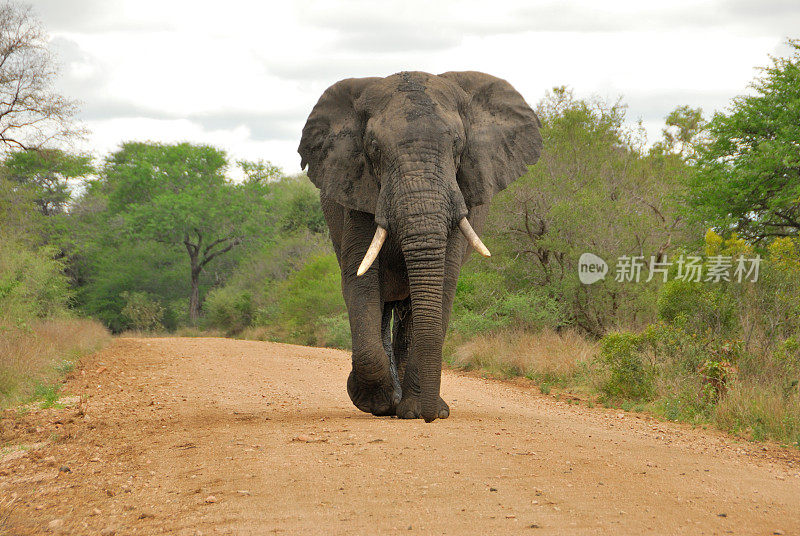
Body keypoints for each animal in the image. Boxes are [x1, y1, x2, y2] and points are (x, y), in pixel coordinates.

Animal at [300, 72, 544, 422]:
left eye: (458, 145)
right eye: (373, 148)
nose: (431, 417)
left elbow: (443, 283)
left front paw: (417, 410)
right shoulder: (357, 193)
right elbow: (360, 282)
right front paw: (376, 402)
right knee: (384, 307)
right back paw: (391, 403)